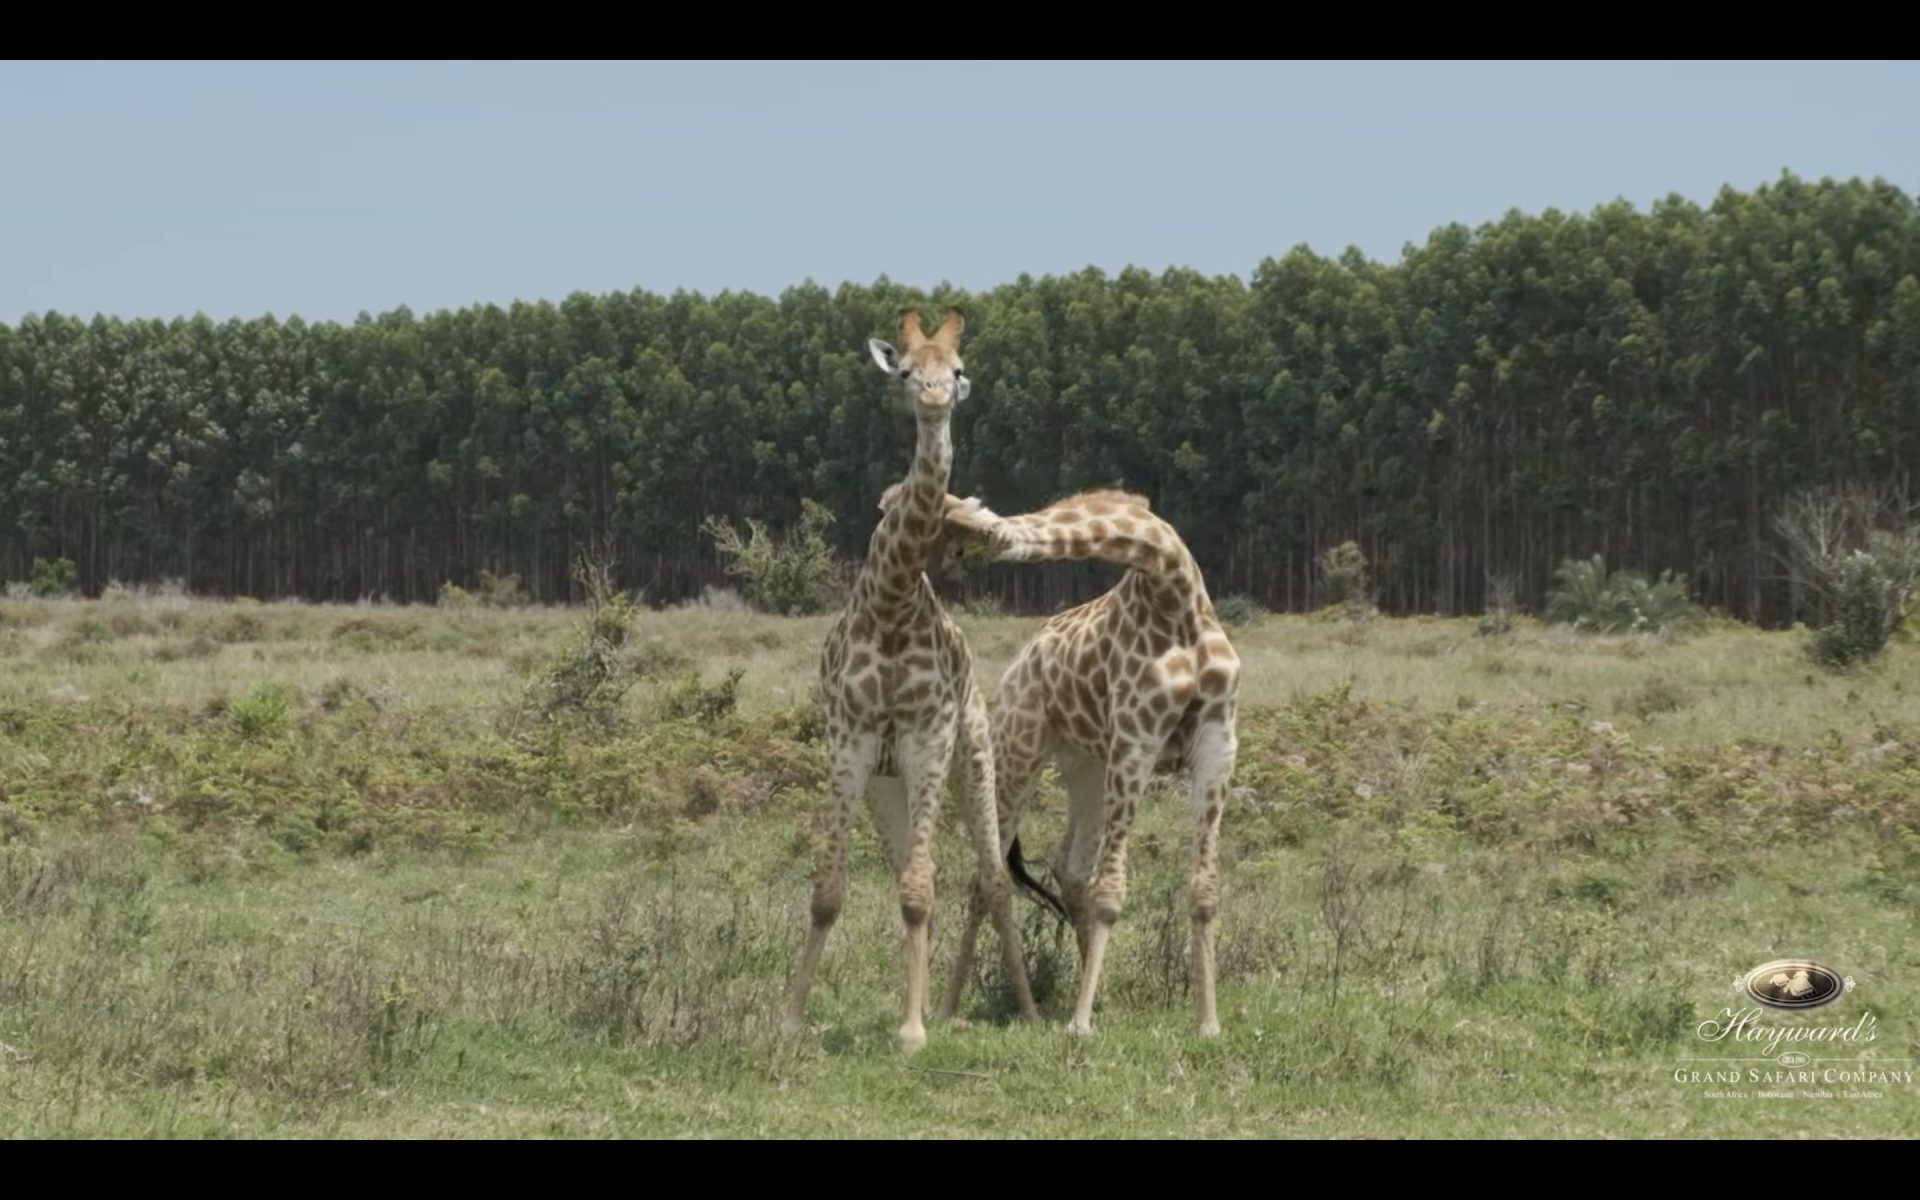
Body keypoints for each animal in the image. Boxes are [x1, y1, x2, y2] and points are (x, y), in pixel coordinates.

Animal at [783, 309, 1044, 1044]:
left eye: (956, 370)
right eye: (904, 370)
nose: (931, 398)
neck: (894, 598)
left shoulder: (928, 737)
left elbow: (924, 891)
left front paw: (911, 1031)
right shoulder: (851, 741)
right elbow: (830, 891)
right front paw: (791, 1017)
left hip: (973, 759)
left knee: (989, 881)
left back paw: (1021, 1011)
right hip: (886, 785)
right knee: (913, 869)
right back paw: (932, 1001)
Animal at [944, 483, 1244, 1029]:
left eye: (961, 535)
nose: (949, 571)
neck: (1172, 590)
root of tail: (1018, 666)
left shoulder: (1218, 740)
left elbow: (1204, 889)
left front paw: (1208, 1022)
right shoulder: (1136, 737)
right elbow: (1112, 892)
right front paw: (1080, 1024)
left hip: (1086, 766)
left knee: (1070, 870)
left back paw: (1096, 995)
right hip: (1019, 750)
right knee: (985, 878)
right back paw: (951, 1007)